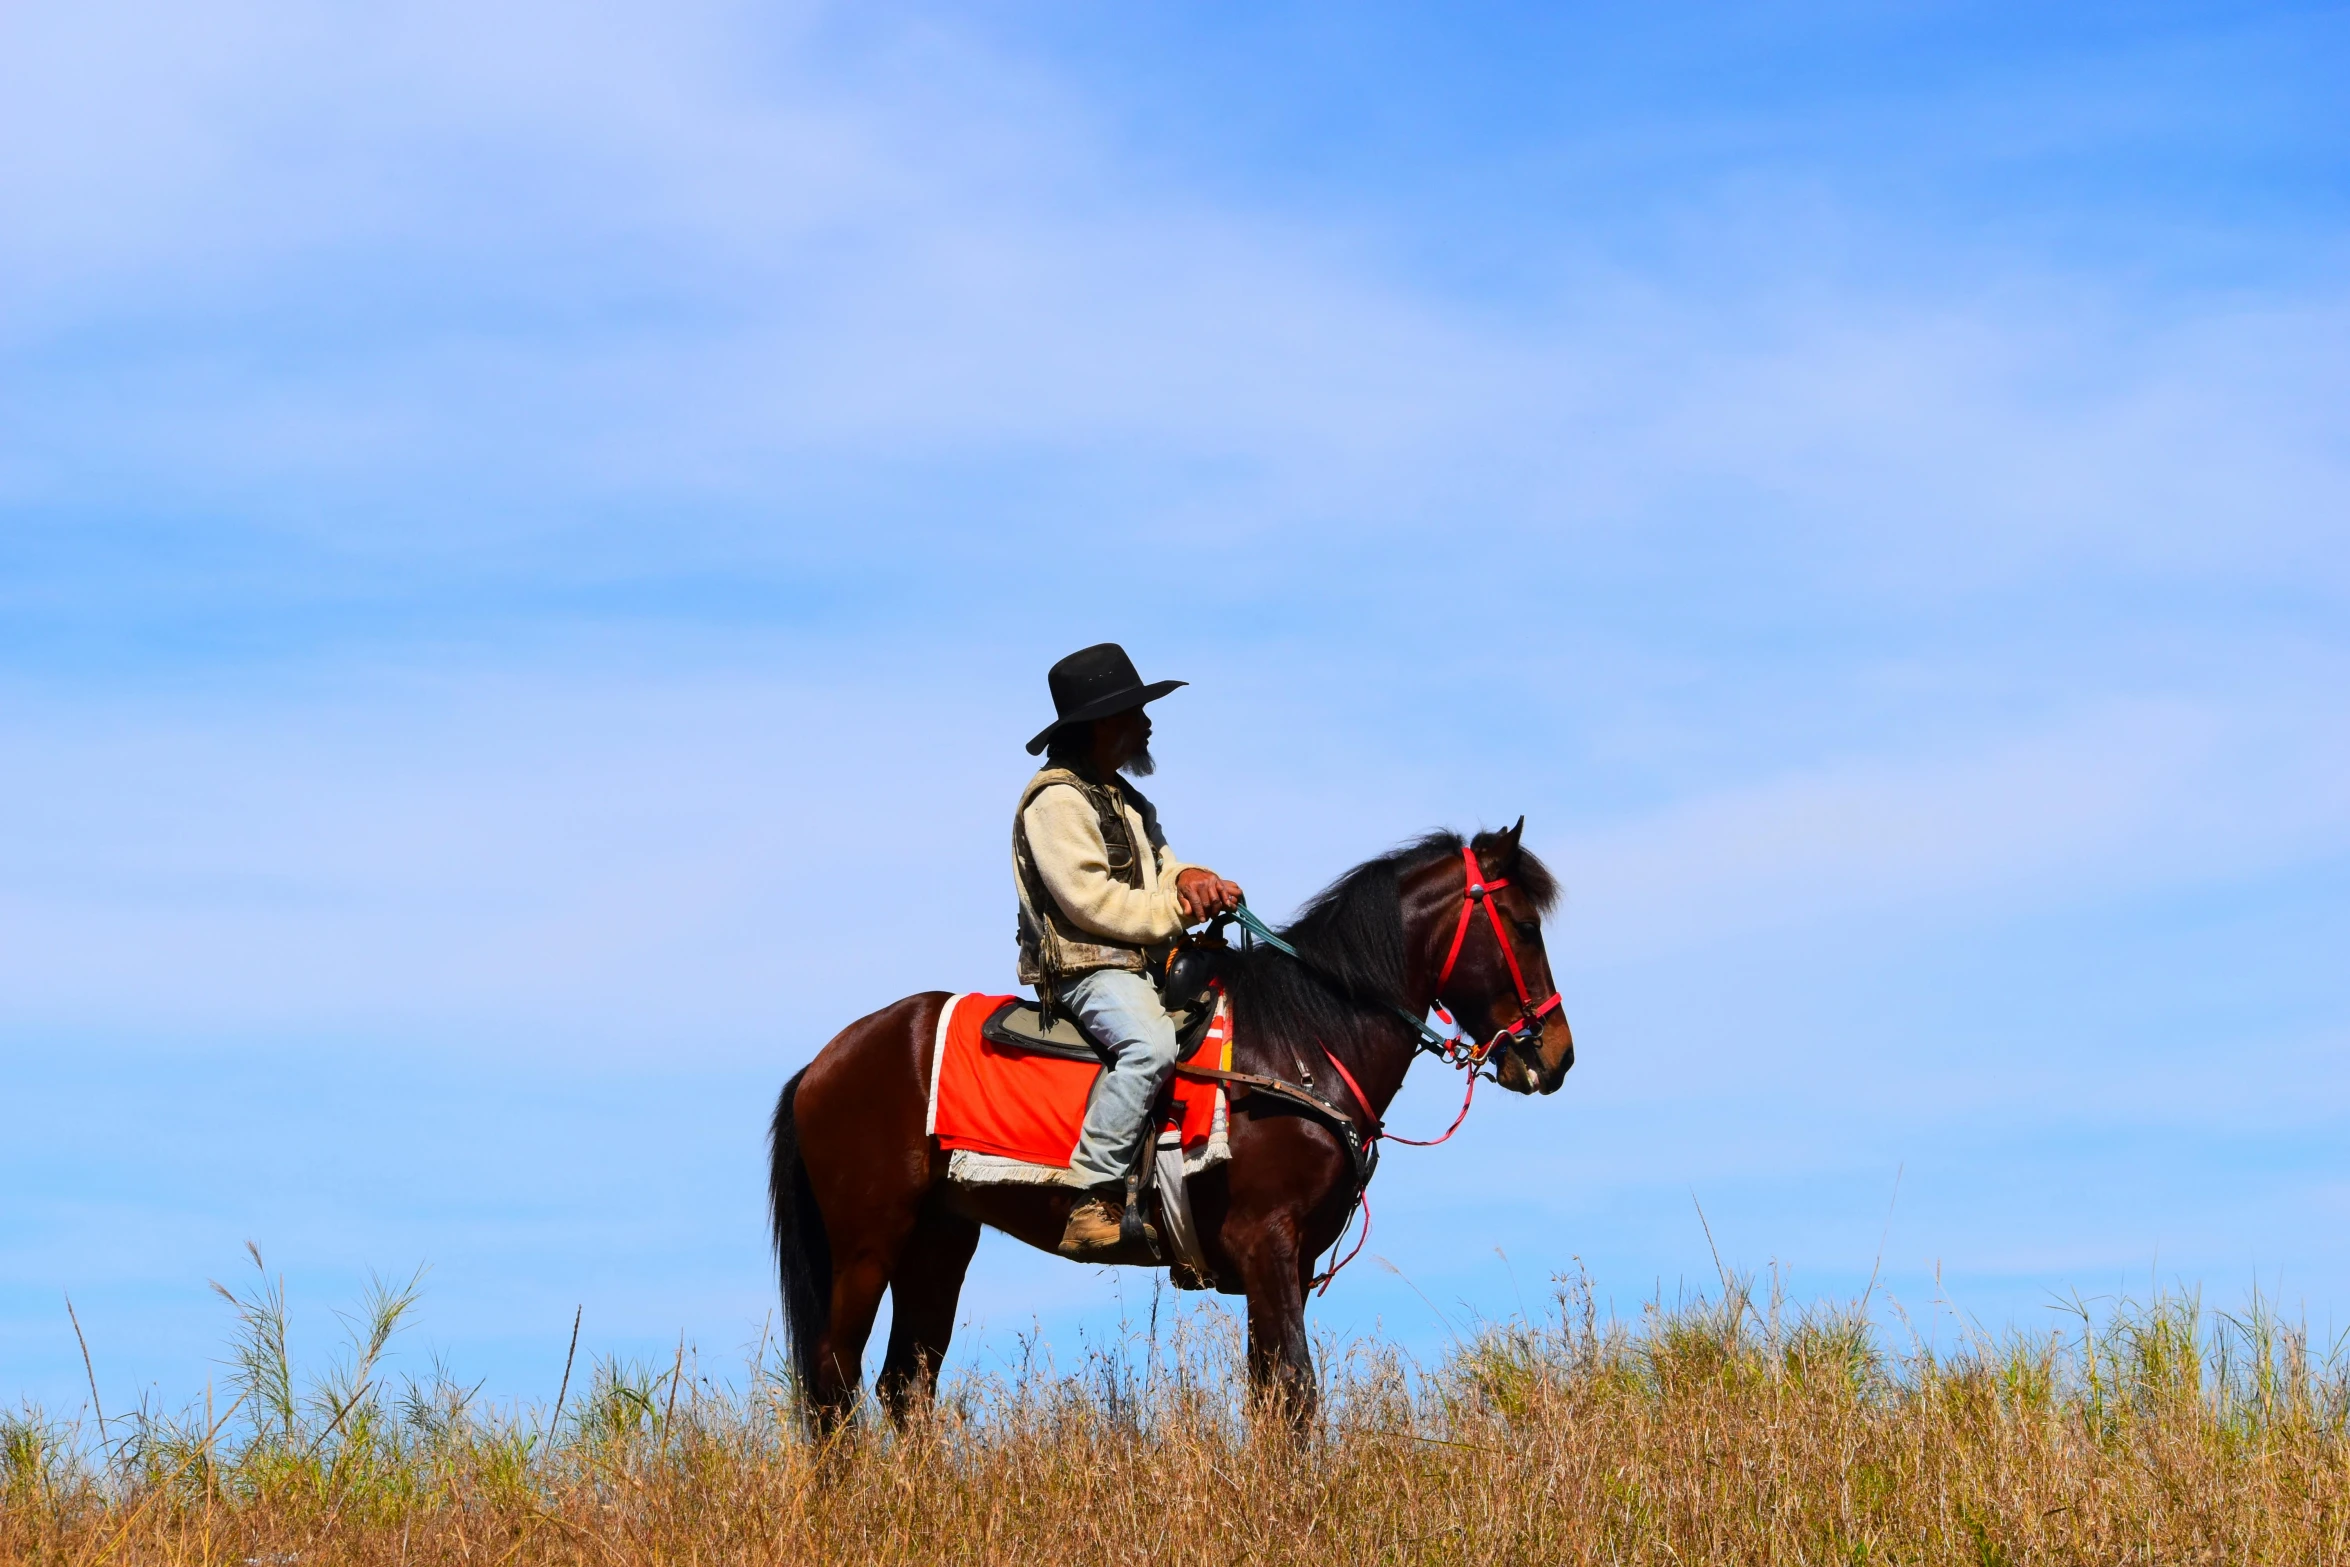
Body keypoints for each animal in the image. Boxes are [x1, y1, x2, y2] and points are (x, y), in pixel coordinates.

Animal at [770, 826, 1579, 1428]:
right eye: (1524, 924)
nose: (1558, 1053)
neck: (1302, 1042)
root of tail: (823, 1062)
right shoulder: (1266, 1240)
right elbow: (1295, 1390)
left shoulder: (1284, 1259)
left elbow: (1270, 1394)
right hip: (868, 1242)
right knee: (834, 1380)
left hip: (939, 1241)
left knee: (905, 1385)